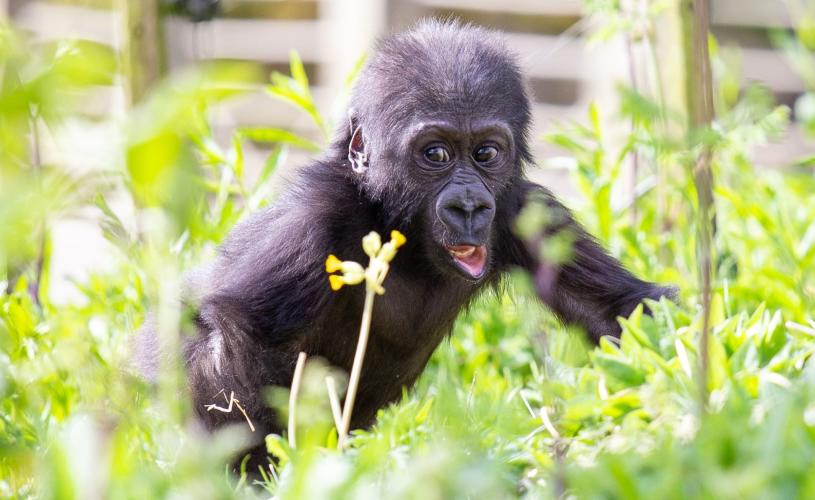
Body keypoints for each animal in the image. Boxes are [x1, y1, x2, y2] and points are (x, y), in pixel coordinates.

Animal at [135, 19, 674, 471]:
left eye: (486, 153)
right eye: (435, 154)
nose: (469, 206)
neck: (395, 221)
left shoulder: (525, 210)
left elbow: (621, 311)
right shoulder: (314, 217)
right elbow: (239, 332)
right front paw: (265, 469)